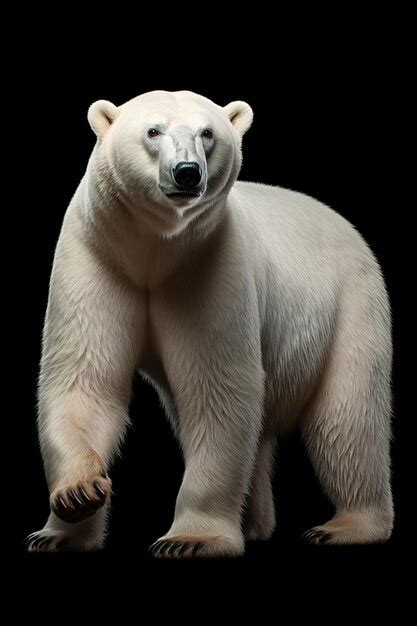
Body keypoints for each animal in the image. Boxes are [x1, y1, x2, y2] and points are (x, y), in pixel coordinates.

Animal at [27, 90, 392, 552]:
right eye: (153, 130)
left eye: (207, 132)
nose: (187, 172)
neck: (153, 251)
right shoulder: (97, 255)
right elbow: (84, 380)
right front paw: (71, 508)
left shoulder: (209, 264)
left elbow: (217, 390)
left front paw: (191, 537)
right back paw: (256, 521)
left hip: (353, 302)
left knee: (348, 422)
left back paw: (346, 526)